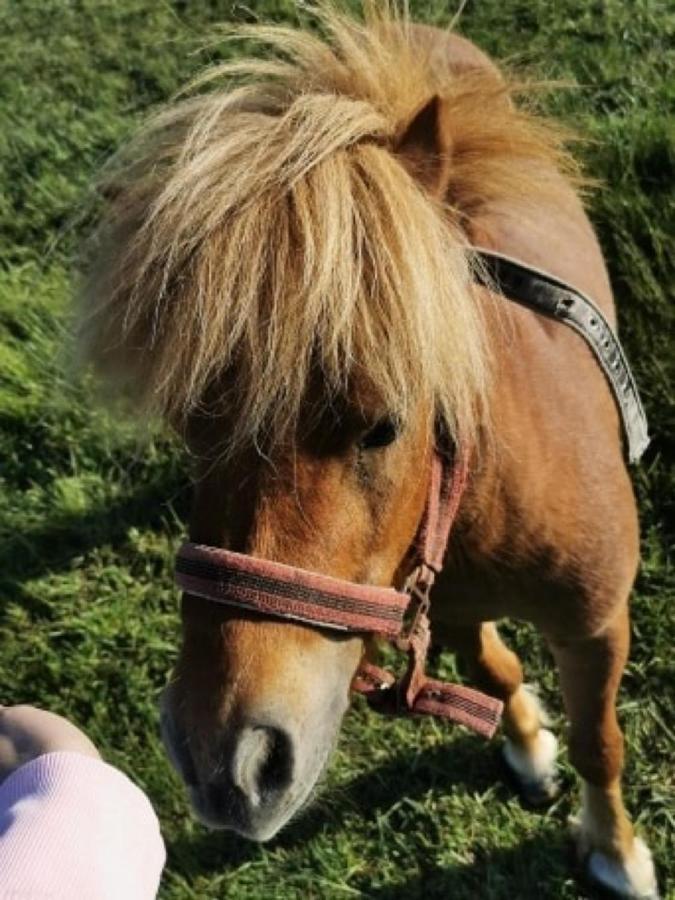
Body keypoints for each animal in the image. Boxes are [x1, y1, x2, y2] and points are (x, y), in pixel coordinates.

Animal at [78, 8, 660, 900]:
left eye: (381, 426)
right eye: (188, 430)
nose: (224, 765)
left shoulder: (594, 625)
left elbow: (601, 742)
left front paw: (615, 853)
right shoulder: (446, 606)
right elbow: (491, 672)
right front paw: (528, 745)